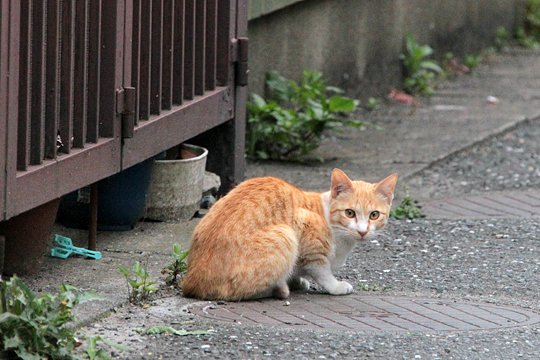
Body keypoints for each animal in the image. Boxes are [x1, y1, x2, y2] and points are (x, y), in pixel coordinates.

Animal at [181, 169, 396, 300]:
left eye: (374, 215)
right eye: (349, 213)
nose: (362, 231)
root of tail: (191, 282)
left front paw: (297, 280)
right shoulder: (308, 234)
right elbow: (323, 271)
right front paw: (336, 286)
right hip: (286, 235)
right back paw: (279, 289)